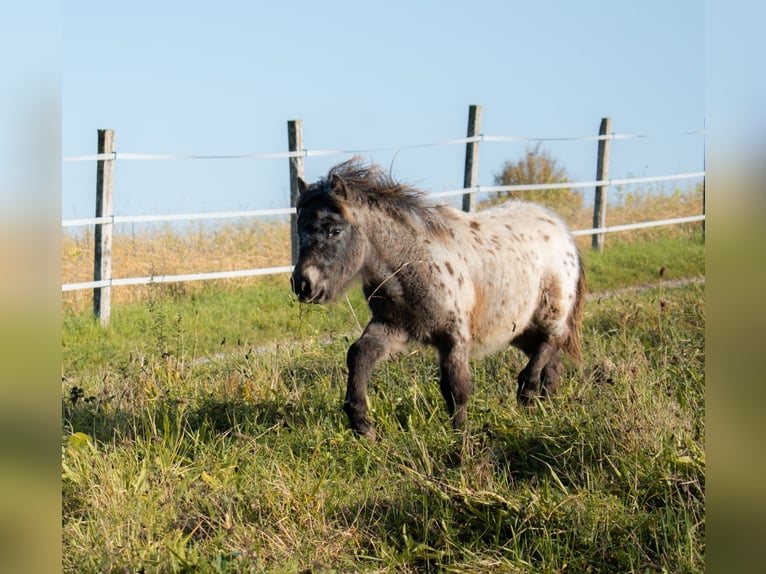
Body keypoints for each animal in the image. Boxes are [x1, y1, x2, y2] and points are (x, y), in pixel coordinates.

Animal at [292, 158, 584, 440]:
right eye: (299, 231)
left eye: (335, 230)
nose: (303, 284)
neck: (412, 260)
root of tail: (560, 228)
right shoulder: (393, 326)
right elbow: (358, 354)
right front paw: (363, 426)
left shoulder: (453, 336)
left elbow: (456, 389)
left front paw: (461, 440)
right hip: (518, 328)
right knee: (549, 356)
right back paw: (544, 403)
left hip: (550, 312)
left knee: (552, 341)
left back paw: (528, 391)